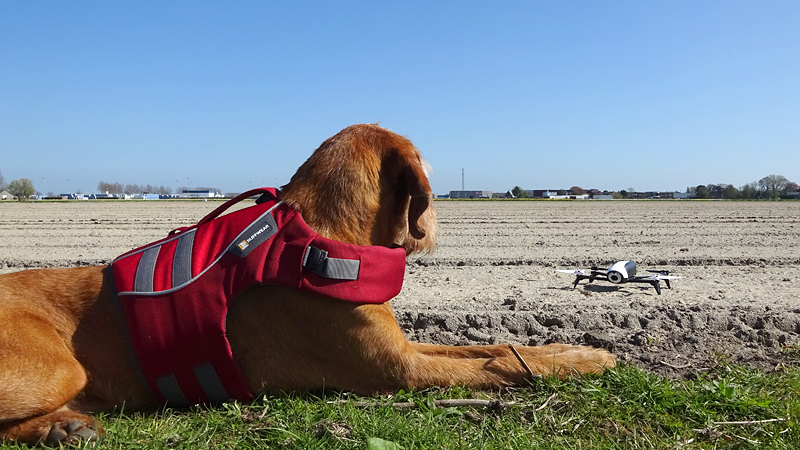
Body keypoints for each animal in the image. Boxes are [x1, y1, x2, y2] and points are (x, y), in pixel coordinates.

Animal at [0, 124, 615, 445]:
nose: (441, 222)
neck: (320, 235)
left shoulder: (402, 346)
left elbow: (498, 347)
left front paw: (572, 349)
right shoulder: (399, 370)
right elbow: (496, 366)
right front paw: (584, 361)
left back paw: (65, 426)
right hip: (56, 366)